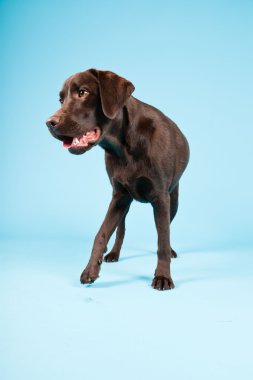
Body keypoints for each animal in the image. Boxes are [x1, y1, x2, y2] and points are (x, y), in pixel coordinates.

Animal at [45, 69, 189, 290]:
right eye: (61, 100)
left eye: (83, 92)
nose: (49, 123)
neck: (125, 146)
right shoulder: (118, 197)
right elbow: (102, 233)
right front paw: (90, 270)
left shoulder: (160, 198)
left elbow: (162, 239)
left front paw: (163, 276)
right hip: (125, 201)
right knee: (121, 229)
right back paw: (113, 253)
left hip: (173, 200)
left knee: (167, 228)